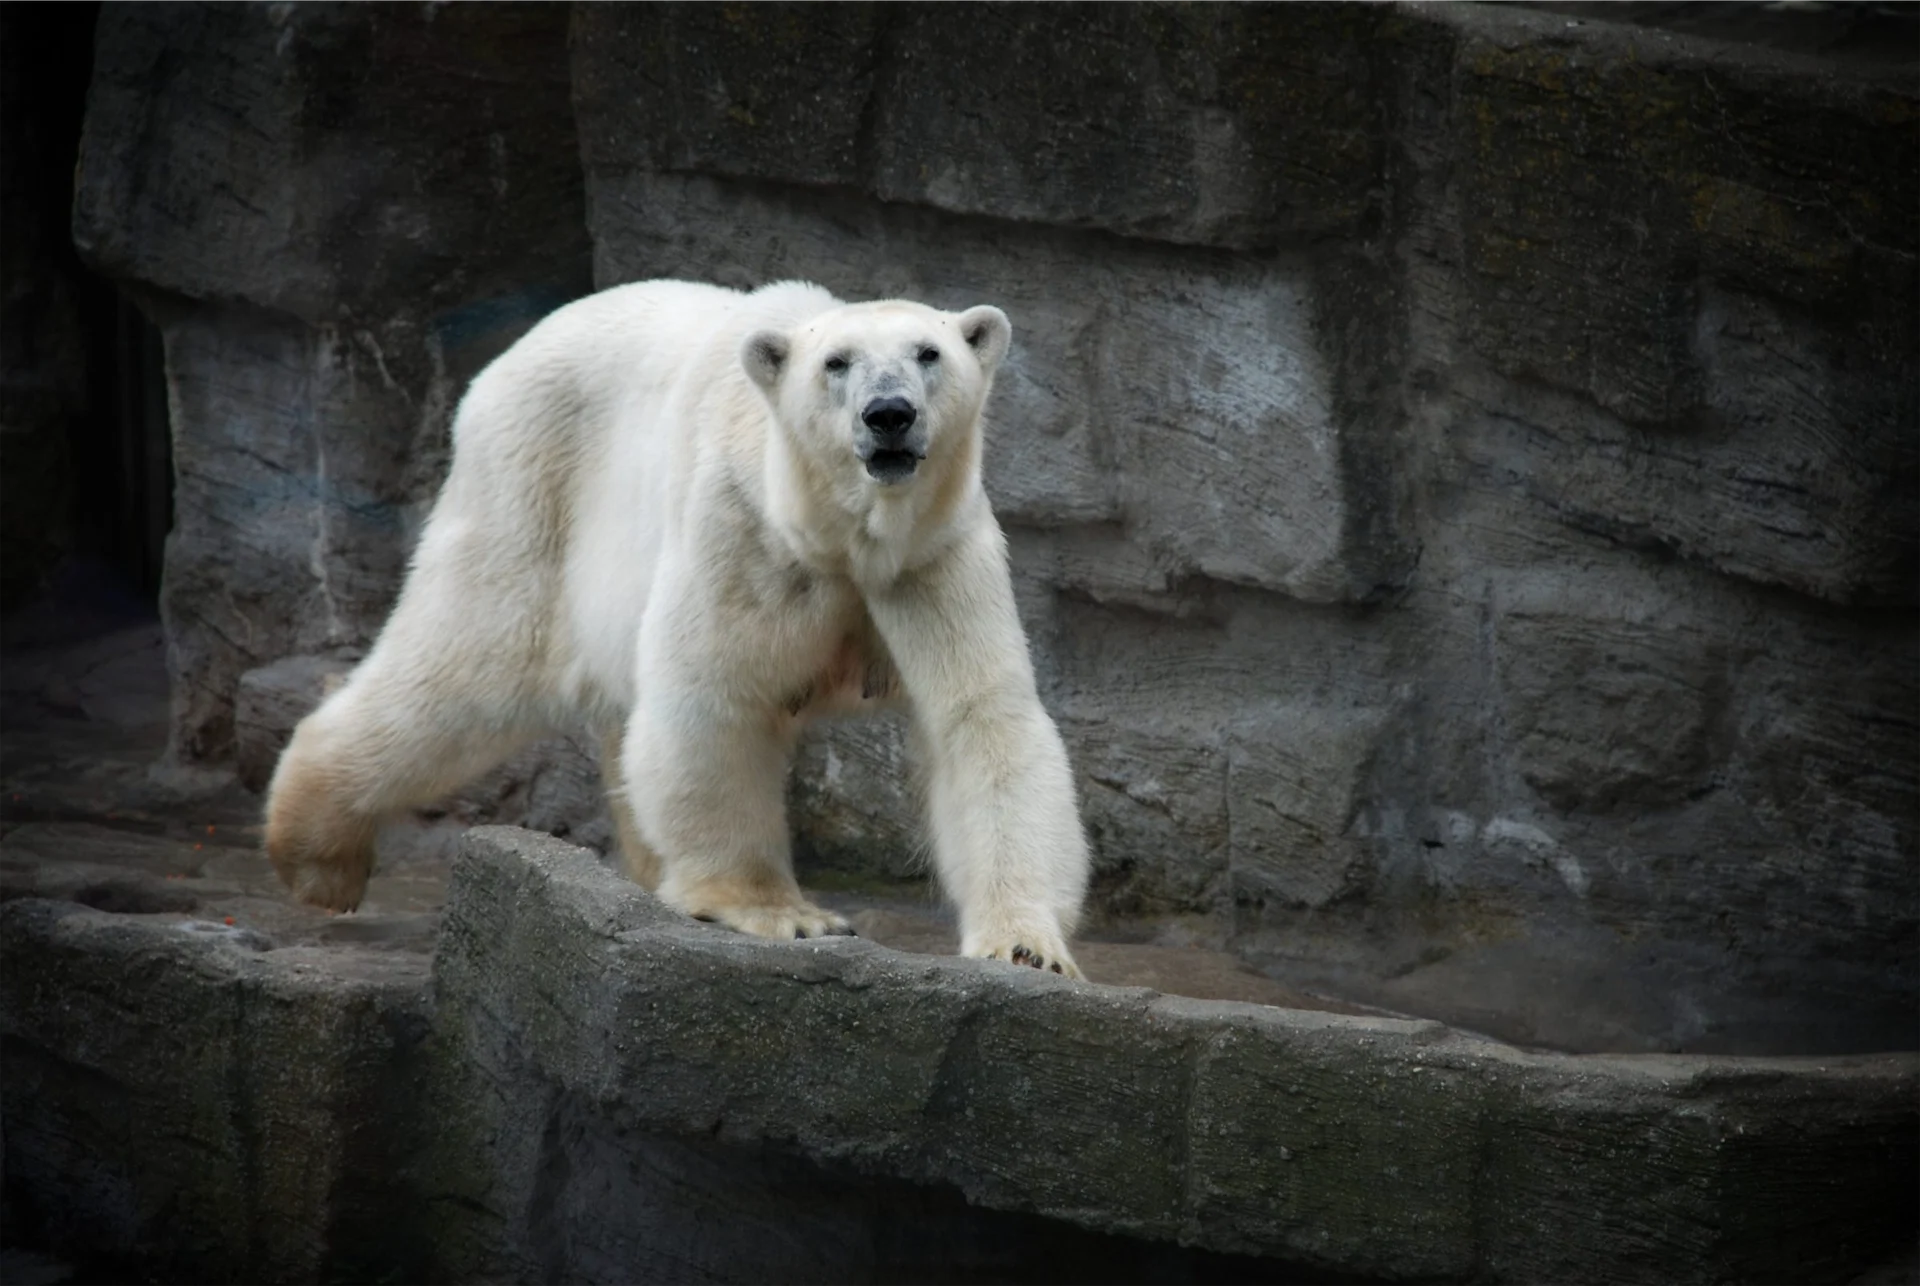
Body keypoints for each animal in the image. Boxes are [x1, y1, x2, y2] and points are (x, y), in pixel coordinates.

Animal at [264, 279, 1091, 976]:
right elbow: (712, 700)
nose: (889, 414)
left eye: (929, 353)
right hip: (530, 491)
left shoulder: (934, 558)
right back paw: (319, 857)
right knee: (465, 666)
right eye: (837, 363)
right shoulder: (742, 531)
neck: (836, 535)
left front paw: (1026, 948)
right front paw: (783, 913)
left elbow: (982, 721)